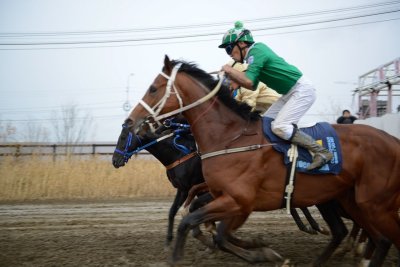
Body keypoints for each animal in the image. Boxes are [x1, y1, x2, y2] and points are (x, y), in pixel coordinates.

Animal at [126, 56, 400, 266]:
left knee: (380, 237)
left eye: (153, 88)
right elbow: (202, 223)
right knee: (371, 236)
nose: (131, 120)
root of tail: (393, 140)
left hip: (371, 203)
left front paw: (263, 252)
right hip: (350, 199)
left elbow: (199, 225)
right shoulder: (224, 197)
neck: (229, 138)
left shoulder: (239, 201)